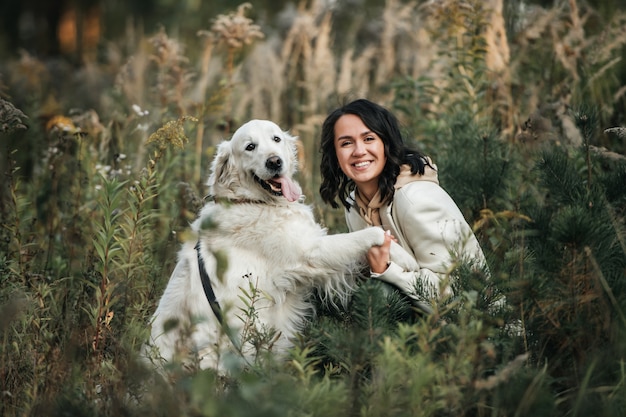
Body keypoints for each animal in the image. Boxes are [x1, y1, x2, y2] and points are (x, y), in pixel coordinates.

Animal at [147, 118, 390, 372]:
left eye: (276, 139)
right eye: (250, 147)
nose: (274, 161)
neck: (251, 201)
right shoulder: (311, 253)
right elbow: (363, 236)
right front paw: (385, 239)